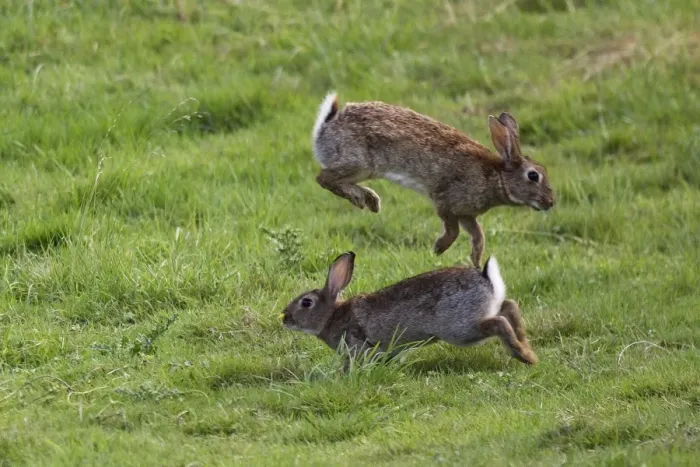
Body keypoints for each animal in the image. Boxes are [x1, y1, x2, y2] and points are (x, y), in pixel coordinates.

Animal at [279, 251, 538, 370]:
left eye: (306, 302)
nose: (284, 317)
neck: (331, 315)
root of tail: (486, 277)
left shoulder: (355, 343)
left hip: (460, 328)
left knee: (498, 322)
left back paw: (524, 356)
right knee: (509, 306)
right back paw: (526, 345)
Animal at [311, 93, 555, 267]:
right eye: (533, 175)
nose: (550, 202)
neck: (497, 176)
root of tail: (325, 126)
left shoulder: (467, 214)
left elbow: (478, 235)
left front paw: (476, 261)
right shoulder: (445, 200)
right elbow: (453, 230)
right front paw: (438, 248)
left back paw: (369, 199)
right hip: (359, 163)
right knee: (323, 178)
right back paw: (362, 198)